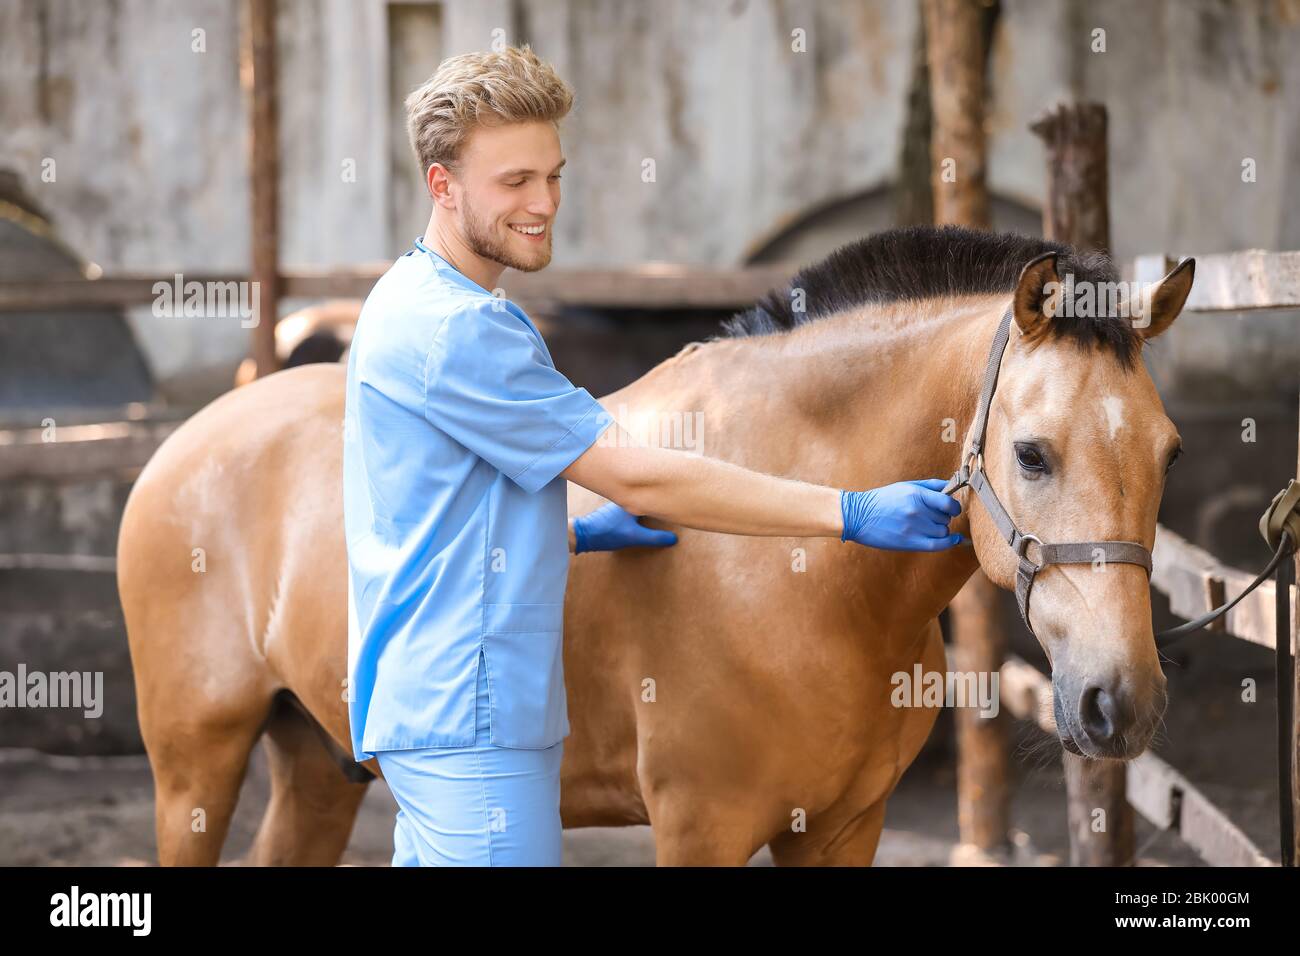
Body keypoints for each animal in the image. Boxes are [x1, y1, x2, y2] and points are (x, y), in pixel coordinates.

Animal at [115, 226, 1194, 865]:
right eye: (1032, 452)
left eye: (1168, 452)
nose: (1120, 700)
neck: (803, 578)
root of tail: (189, 439)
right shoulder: (700, 827)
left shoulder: (843, 828)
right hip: (193, 770)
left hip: (319, 762)